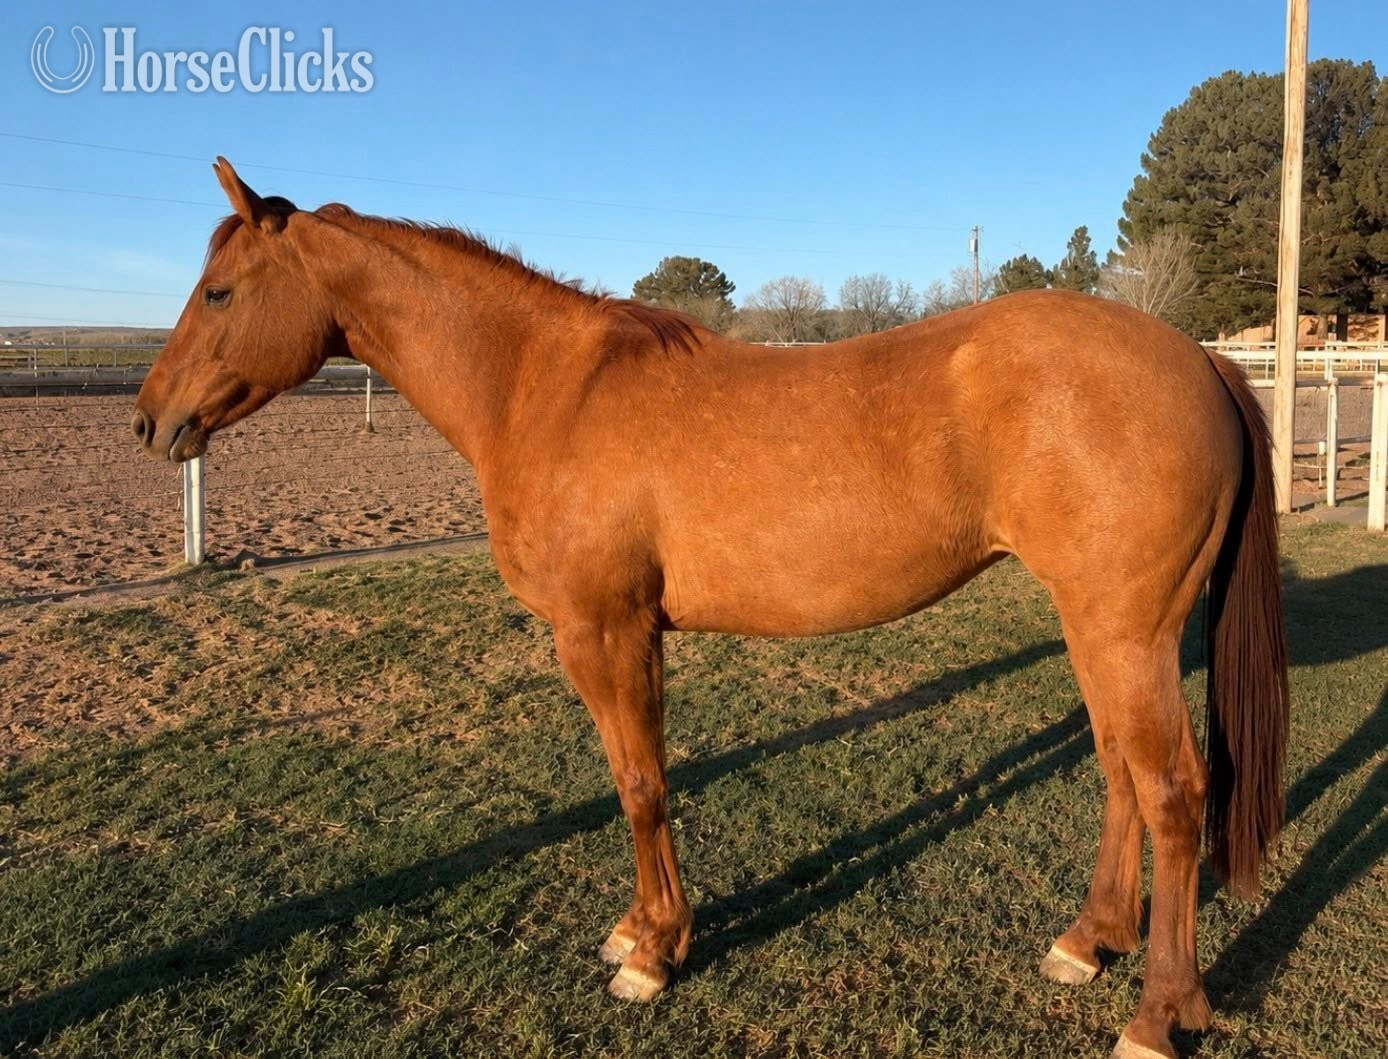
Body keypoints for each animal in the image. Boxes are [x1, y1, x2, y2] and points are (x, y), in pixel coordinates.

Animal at [132, 158, 1288, 1059]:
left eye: (219, 292)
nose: (149, 423)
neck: (545, 388)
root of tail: (1198, 358)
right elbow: (633, 782)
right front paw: (638, 930)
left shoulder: (605, 634)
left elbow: (642, 787)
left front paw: (652, 953)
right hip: (1101, 631)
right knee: (1120, 775)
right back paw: (1088, 942)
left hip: (1123, 632)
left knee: (1172, 793)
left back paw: (1157, 1014)